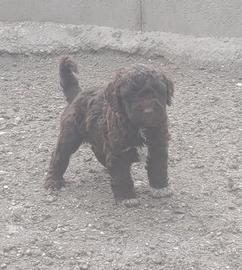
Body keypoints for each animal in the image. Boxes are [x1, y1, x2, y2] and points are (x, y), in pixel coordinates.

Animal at [44, 56, 174, 206]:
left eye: (158, 91)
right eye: (131, 94)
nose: (148, 111)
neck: (138, 126)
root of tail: (77, 95)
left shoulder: (157, 146)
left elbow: (158, 168)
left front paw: (160, 188)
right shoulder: (118, 153)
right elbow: (122, 176)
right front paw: (127, 197)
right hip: (69, 135)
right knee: (59, 156)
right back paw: (53, 181)